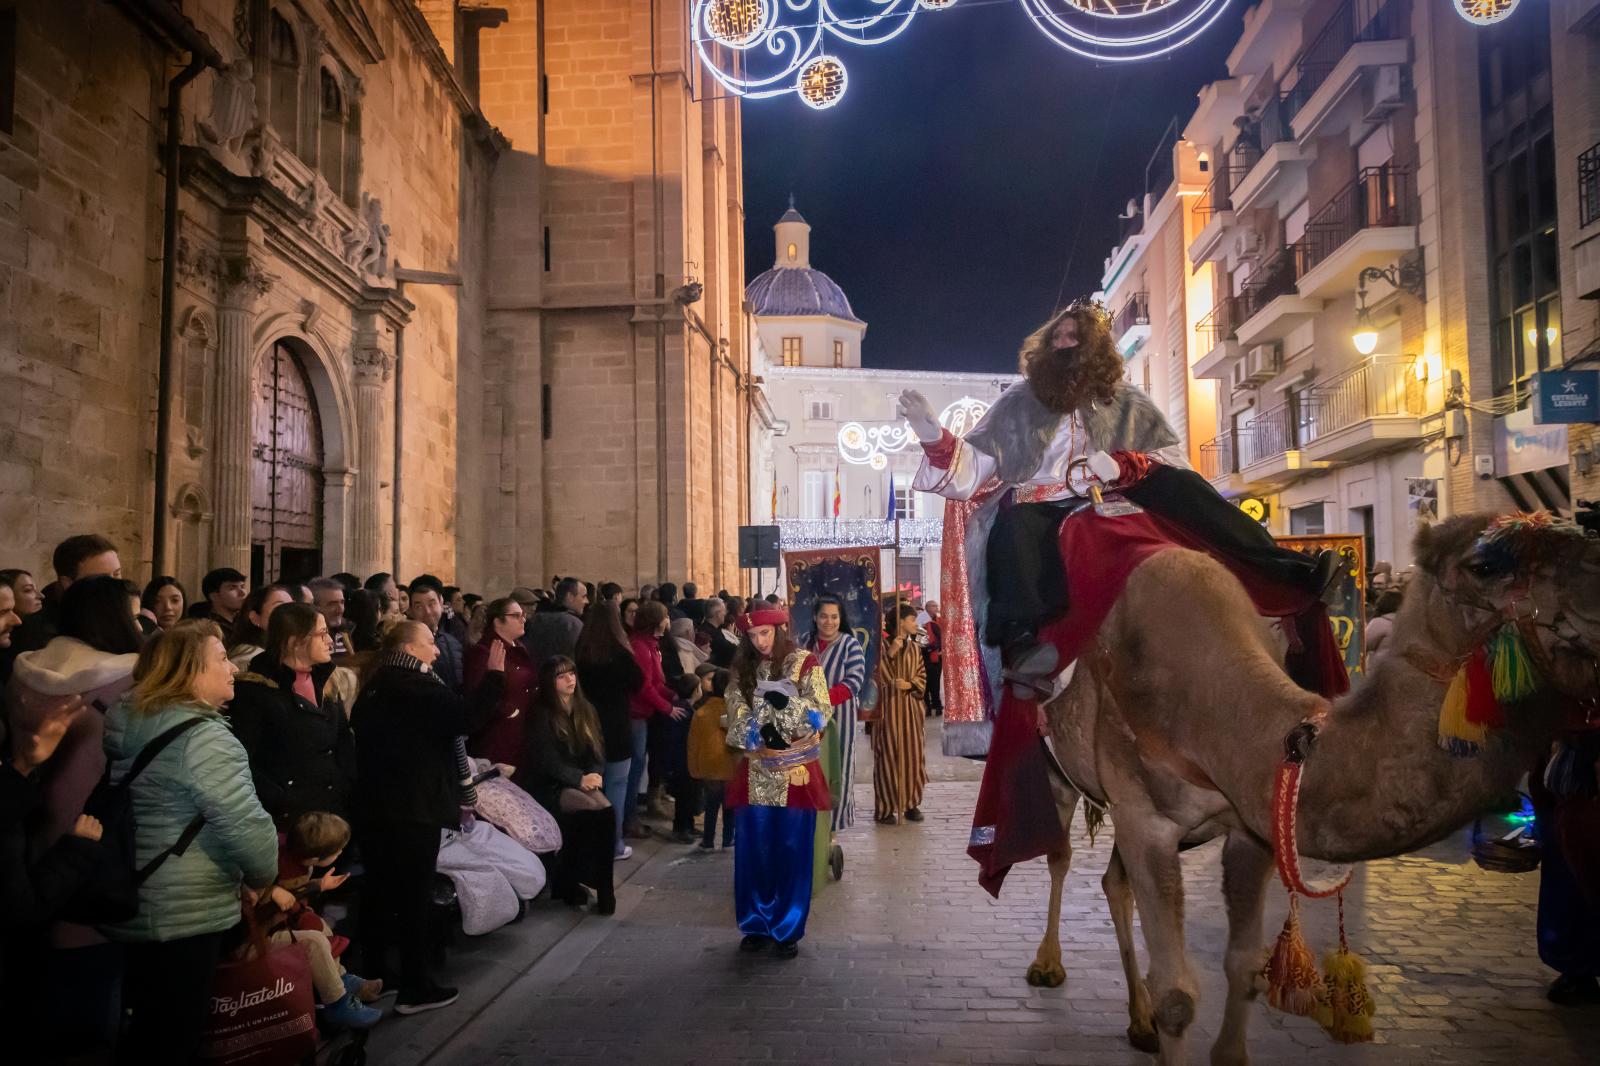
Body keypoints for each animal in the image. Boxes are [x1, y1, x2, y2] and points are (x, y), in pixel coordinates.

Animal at [1017, 512, 1600, 1056]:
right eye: (1484, 565)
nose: (1593, 595)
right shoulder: (1146, 817)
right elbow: (1177, 996)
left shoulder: (1250, 824)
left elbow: (1245, 965)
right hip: (1056, 774)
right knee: (1061, 854)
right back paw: (1048, 964)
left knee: (1113, 882)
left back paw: (1138, 1023)